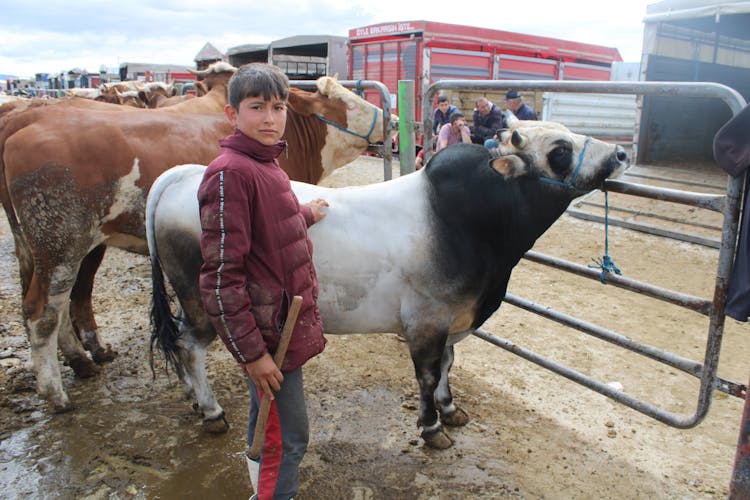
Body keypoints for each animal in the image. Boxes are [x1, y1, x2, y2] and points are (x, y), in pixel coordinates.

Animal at [0, 72, 396, 412]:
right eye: (350, 102)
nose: (391, 121)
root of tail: (24, 126)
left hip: (48, 245)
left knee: (57, 303)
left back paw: (82, 359)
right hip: (61, 242)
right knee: (44, 310)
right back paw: (56, 392)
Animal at [145, 118, 628, 450]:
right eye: (561, 150)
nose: (621, 153)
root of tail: (186, 175)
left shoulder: (451, 322)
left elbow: (449, 365)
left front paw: (451, 409)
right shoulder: (427, 322)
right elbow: (429, 376)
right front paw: (432, 427)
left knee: (183, 347)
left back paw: (193, 398)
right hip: (203, 303)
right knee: (190, 347)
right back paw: (211, 410)